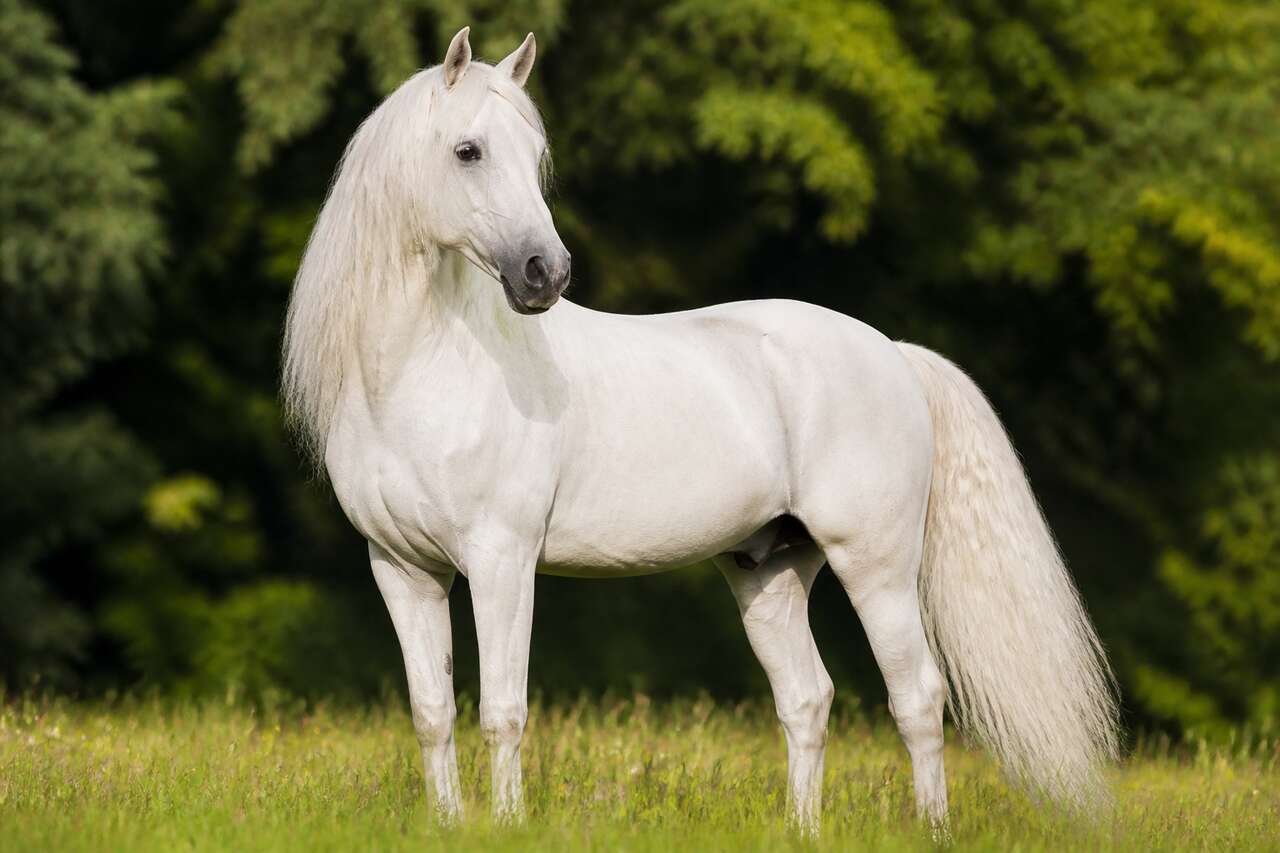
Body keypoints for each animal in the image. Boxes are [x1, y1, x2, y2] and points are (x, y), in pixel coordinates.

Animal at [282, 27, 1120, 834]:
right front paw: (449, 822)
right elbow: (432, 713)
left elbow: (502, 711)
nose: (544, 274)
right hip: (768, 572)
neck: (428, 376)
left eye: (535, 155)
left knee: (915, 696)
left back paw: (932, 827)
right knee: (807, 699)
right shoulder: (402, 569)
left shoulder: (501, 562)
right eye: (468, 150)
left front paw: (506, 822)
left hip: (875, 565)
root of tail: (894, 353)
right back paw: (800, 829)